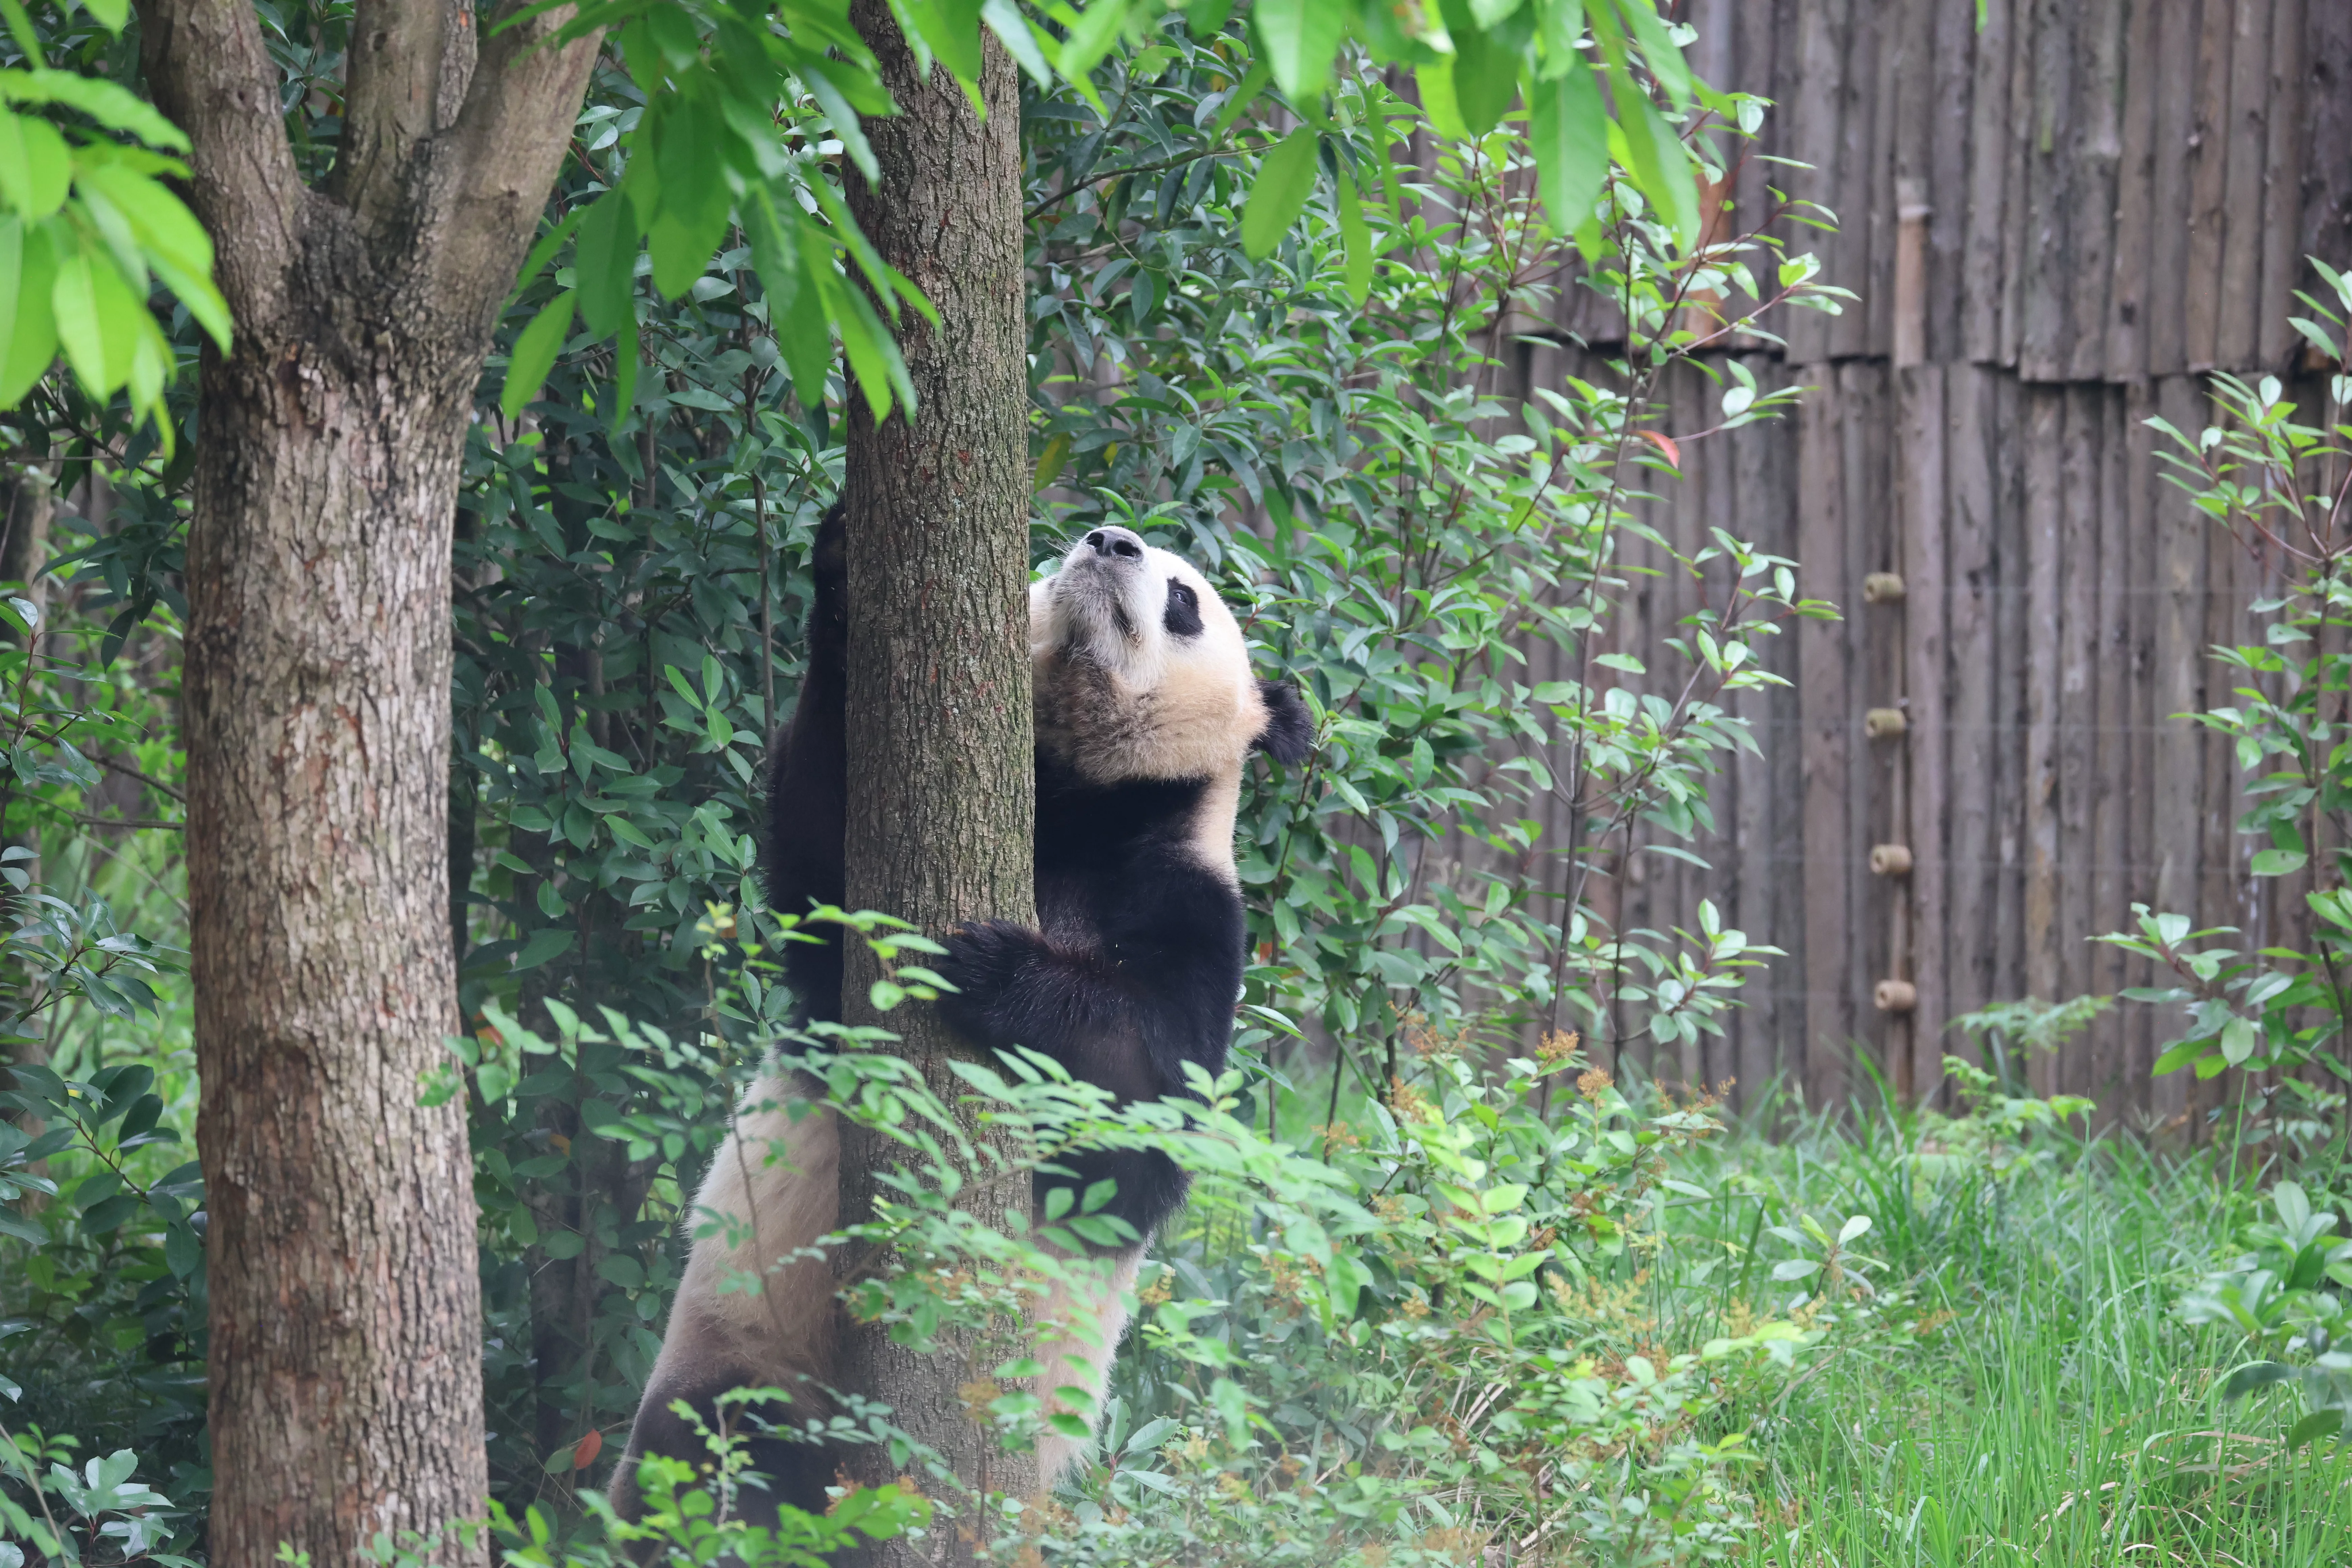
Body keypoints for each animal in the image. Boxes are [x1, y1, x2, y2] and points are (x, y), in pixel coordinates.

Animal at [610, 506, 1314, 1523]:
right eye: (1065, 554)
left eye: (1184, 598)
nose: (1109, 540)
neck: (1086, 801)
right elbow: (822, 867)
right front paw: (840, 567)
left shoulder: (1196, 911)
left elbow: (1146, 1106)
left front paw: (988, 968)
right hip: (744, 1346)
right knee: (714, 1459)